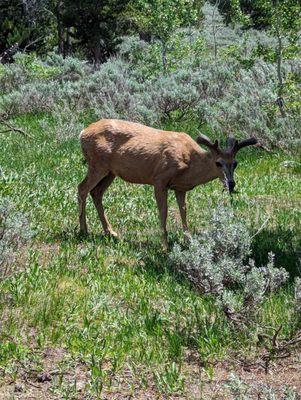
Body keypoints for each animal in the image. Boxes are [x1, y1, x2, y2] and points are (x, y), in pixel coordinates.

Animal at [77, 119, 255, 248]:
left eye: (235, 163)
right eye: (218, 163)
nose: (231, 184)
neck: (190, 163)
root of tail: (83, 133)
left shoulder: (180, 187)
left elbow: (184, 211)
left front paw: (188, 241)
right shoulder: (159, 179)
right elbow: (164, 211)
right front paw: (165, 246)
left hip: (110, 172)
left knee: (96, 192)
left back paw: (110, 232)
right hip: (97, 164)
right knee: (82, 188)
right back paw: (83, 231)